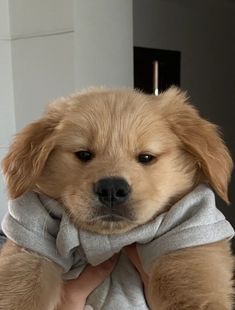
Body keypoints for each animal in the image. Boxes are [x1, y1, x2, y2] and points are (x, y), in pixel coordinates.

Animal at [0, 88, 234, 310]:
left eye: (146, 157)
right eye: (83, 154)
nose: (112, 189)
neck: (112, 238)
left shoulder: (189, 225)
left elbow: (188, 285)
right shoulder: (32, 234)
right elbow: (21, 284)